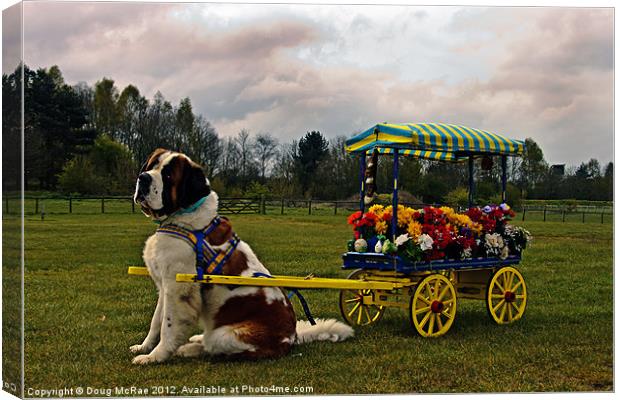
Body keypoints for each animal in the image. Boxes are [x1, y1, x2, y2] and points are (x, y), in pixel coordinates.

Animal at [131, 148, 354, 364]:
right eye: (151, 166)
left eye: (168, 175)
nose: (143, 178)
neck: (181, 219)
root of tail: (292, 338)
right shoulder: (165, 286)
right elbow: (156, 321)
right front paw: (144, 347)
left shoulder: (178, 289)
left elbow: (167, 326)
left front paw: (155, 357)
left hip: (223, 335)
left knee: (213, 347)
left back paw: (190, 348)